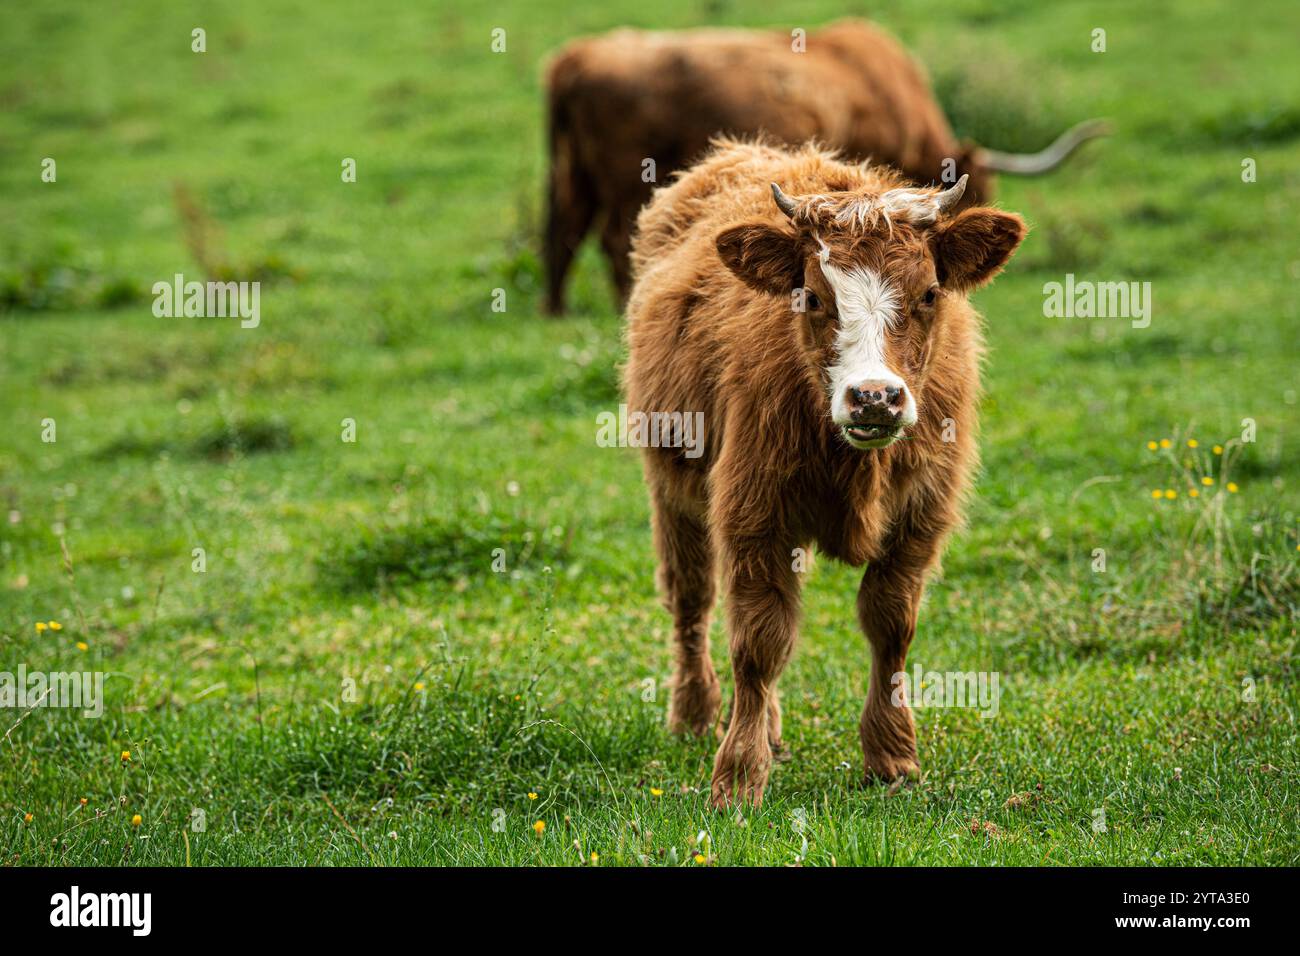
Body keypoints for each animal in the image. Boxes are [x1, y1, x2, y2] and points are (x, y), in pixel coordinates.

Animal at [545, 19, 1096, 315]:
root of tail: (577, 56)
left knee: (566, 234)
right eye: (980, 189)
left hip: (576, 175)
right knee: (610, 239)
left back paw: (555, 311)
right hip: (622, 179)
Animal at [622, 138, 1026, 808]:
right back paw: (697, 714)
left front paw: (892, 757)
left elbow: (890, 627)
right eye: (812, 297)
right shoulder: (752, 514)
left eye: (929, 294)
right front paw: (738, 777)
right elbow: (758, 644)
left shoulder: (920, 518)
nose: (874, 397)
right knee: (692, 599)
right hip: (671, 489)